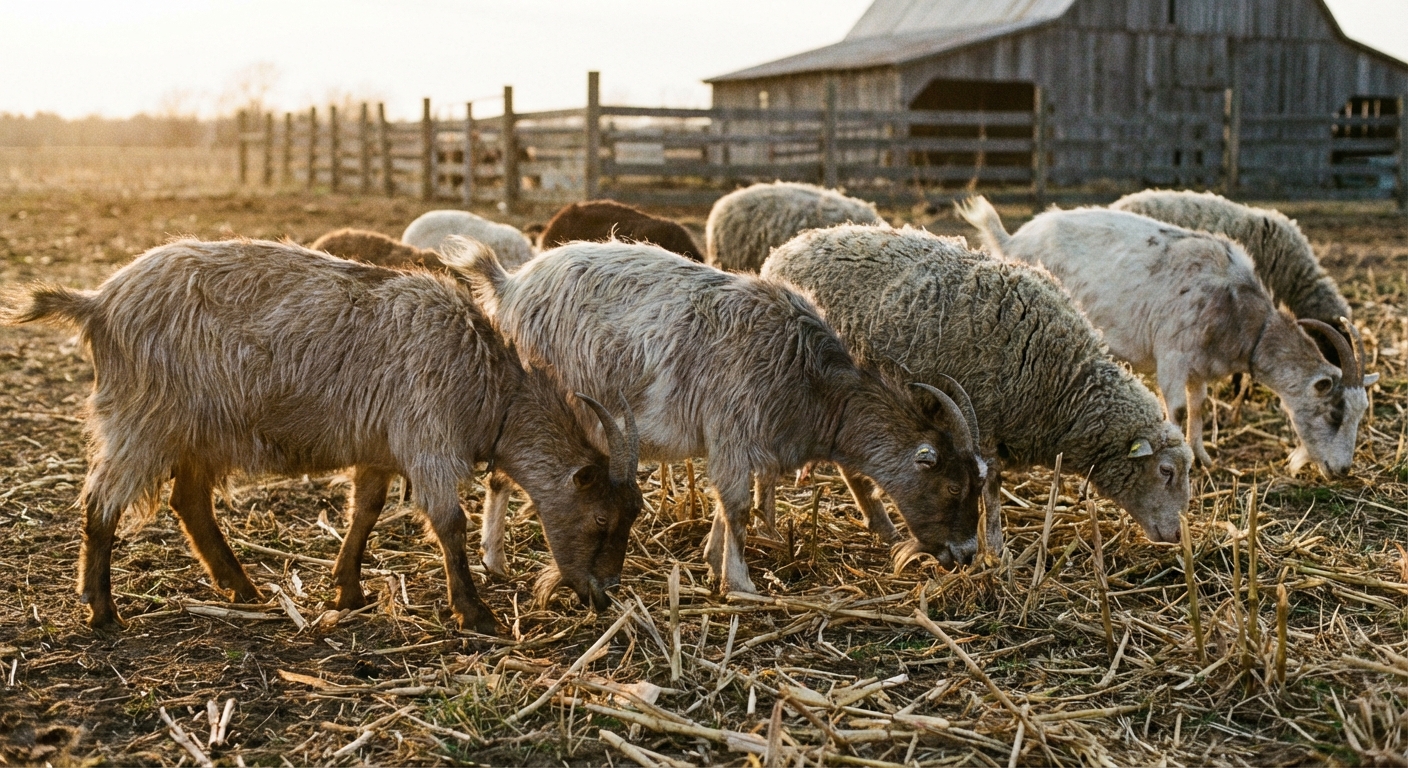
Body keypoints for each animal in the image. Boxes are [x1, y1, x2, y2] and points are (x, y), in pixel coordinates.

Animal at [5, 238, 643, 632]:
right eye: (600, 519)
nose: (604, 592)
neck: (490, 384)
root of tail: (96, 303)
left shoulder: (381, 448)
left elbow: (365, 511)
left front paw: (348, 591)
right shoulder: (428, 441)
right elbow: (449, 524)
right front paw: (475, 613)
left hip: (199, 429)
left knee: (189, 501)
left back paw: (241, 588)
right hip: (143, 420)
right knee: (100, 503)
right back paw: (102, 610)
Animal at [452, 237, 987, 594]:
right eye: (953, 486)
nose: (966, 555)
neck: (809, 381)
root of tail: (510, 285)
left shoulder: (731, 443)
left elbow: (725, 506)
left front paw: (712, 560)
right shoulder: (732, 428)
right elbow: (738, 507)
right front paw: (741, 583)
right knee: (502, 475)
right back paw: (495, 560)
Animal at [761, 224, 1192, 548]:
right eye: (1166, 471)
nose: (1176, 535)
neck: (1064, 383)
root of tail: (782, 252)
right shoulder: (984, 423)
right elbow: (993, 494)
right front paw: (997, 552)